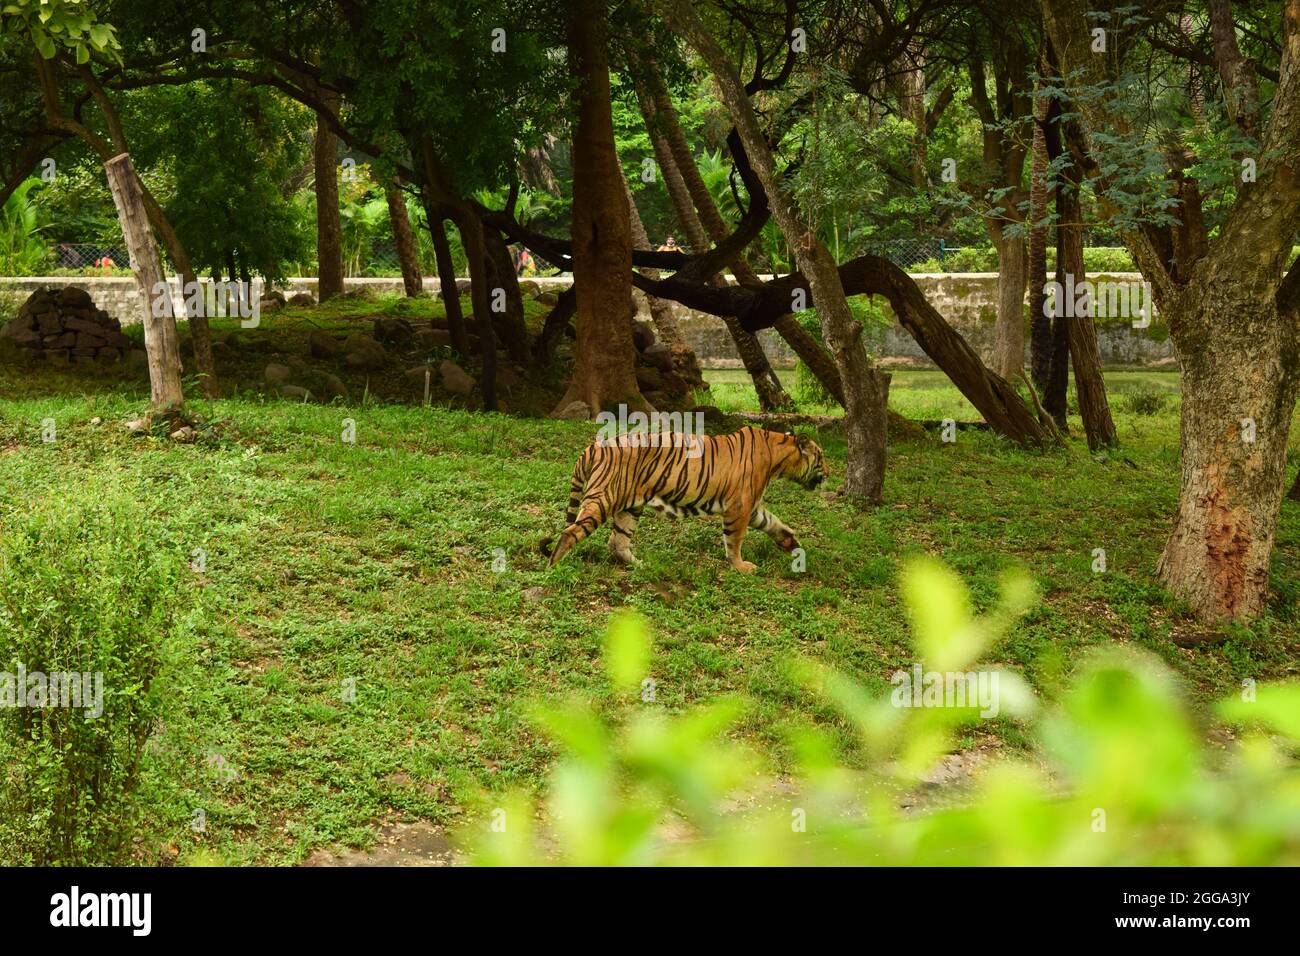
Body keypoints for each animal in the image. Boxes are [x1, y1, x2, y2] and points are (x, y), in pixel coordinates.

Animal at [540, 429, 826, 574]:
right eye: (821, 457)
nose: (830, 473)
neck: (779, 456)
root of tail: (595, 446)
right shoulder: (739, 506)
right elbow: (734, 540)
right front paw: (741, 566)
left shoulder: (751, 506)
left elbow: (772, 522)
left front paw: (791, 542)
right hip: (603, 498)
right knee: (570, 532)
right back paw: (552, 568)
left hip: (630, 507)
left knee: (617, 542)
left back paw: (641, 566)